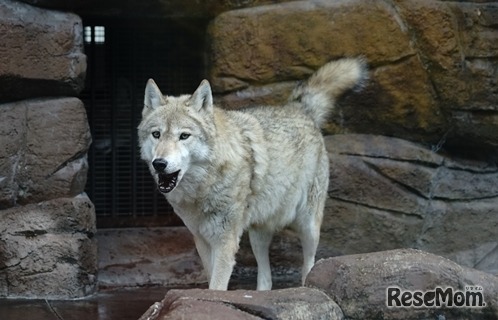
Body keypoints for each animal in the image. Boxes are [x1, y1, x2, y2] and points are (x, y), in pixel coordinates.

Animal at [138, 57, 368, 290]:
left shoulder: (225, 240)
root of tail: (298, 108)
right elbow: (212, 281)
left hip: (308, 225)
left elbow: (217, 286)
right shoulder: (201, 239)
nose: (159, 163)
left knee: (309, 262)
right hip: (258, 234)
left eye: (184, 136)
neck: (204, 188)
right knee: (266, 278)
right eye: (156, 134)